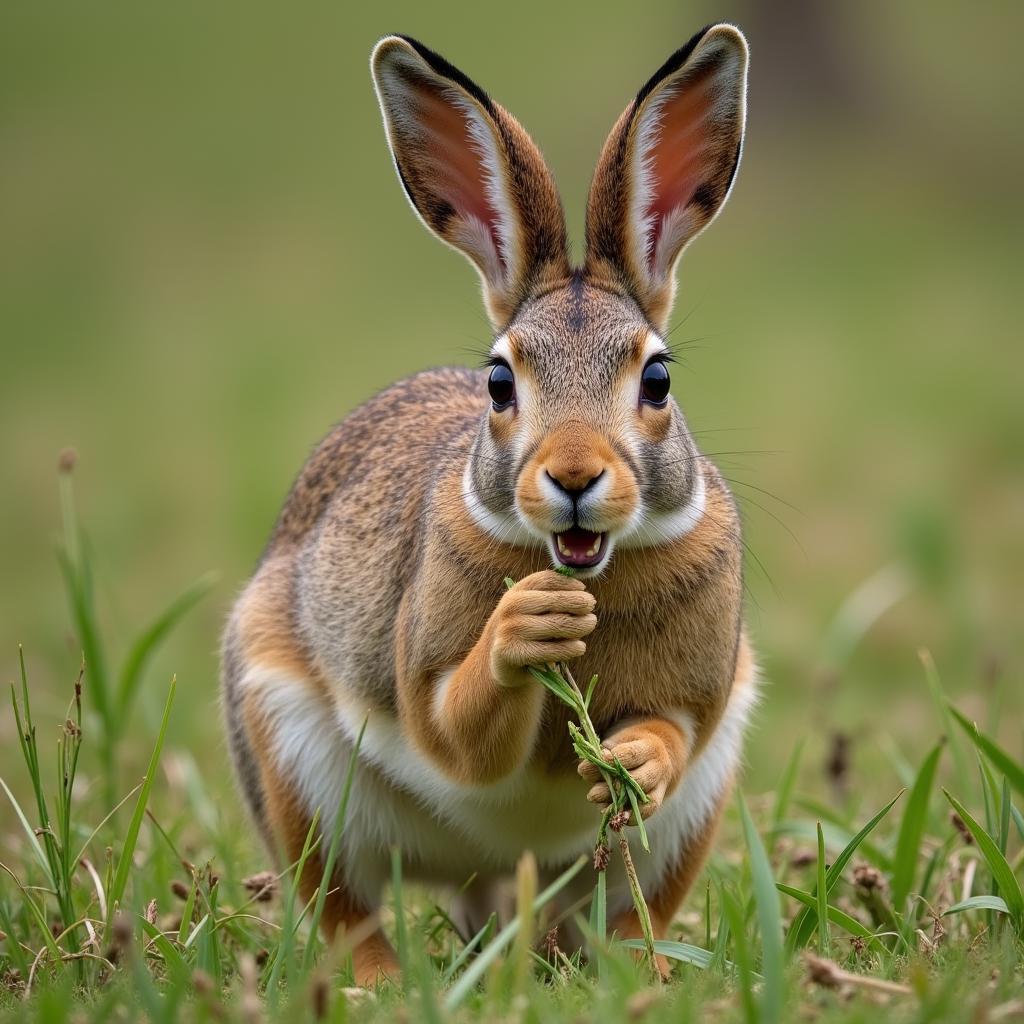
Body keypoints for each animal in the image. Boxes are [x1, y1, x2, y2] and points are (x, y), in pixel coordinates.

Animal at [222, 24, 753, 983]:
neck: (588, 568)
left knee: (628, 911)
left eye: (657, 379)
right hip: (288, 753)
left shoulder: (705, 701)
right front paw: (529, 624)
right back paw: (379, 985)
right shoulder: (423, 660)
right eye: (500, 383)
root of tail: (487, 874)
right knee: (344, 906)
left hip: (693, 816)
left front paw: (629, 760)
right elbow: (453, 726)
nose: (574, 477)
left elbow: (672, 731)